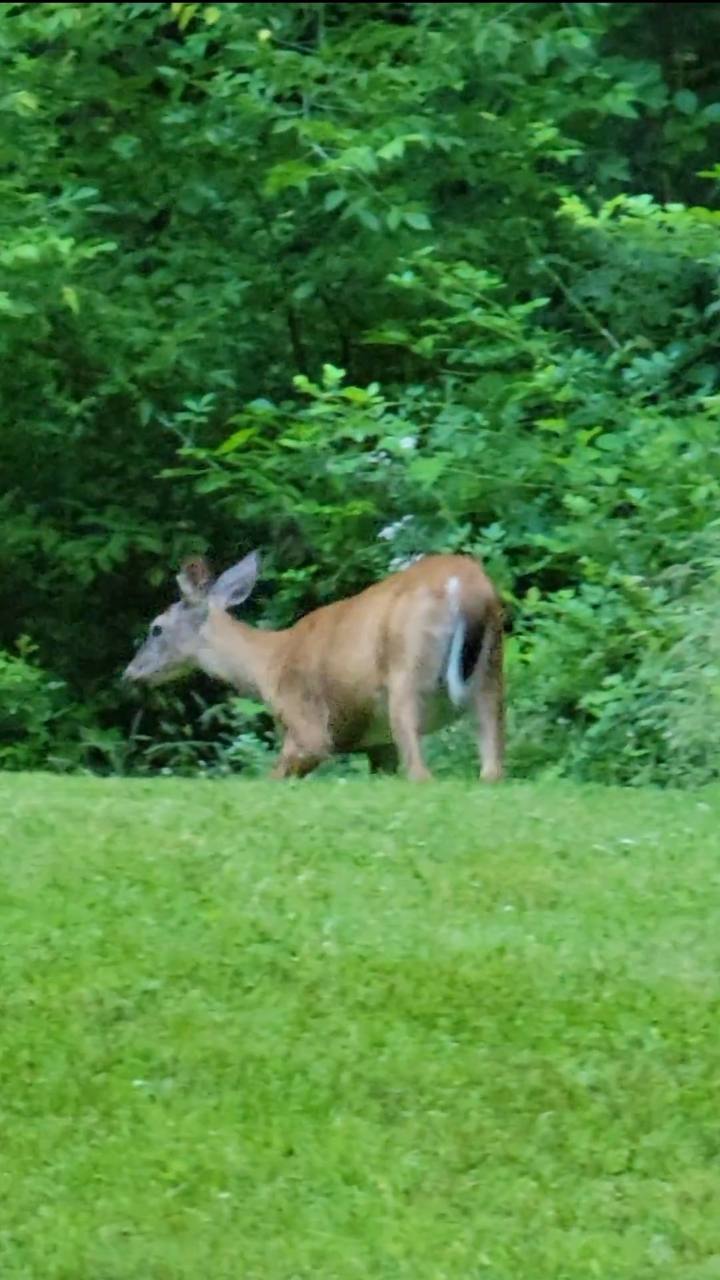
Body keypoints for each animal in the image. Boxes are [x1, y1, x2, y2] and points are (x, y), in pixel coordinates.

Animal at [123, 551, 504, 782]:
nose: (130, 673)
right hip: (491, 674)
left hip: (405, 673)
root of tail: (467, 586)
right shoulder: (375, 743)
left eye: (156, 628)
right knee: (492, 767)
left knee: (421, 772)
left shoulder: (307, 724)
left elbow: (275, 774)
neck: (268, 663)